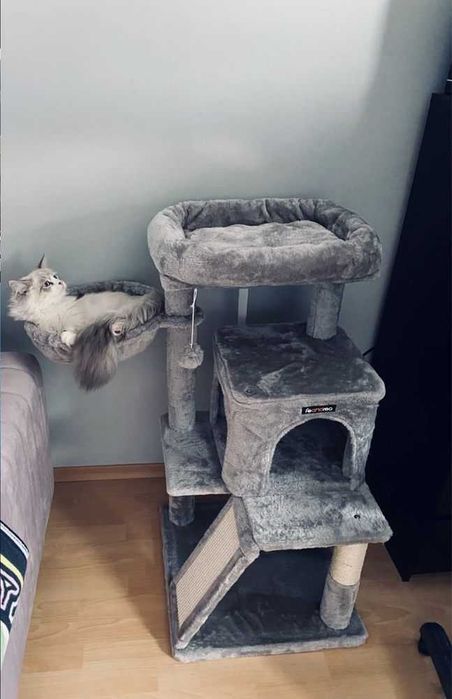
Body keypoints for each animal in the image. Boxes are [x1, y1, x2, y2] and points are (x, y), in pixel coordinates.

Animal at [8, 255, 163, 391]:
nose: (60, 282)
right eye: (47, 283)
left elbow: (72, 330)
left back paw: (116, 328)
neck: (49, 309)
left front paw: (68, 337)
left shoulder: (78, 317)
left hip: (120, 311)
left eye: (55, 277)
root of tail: (144, 297)